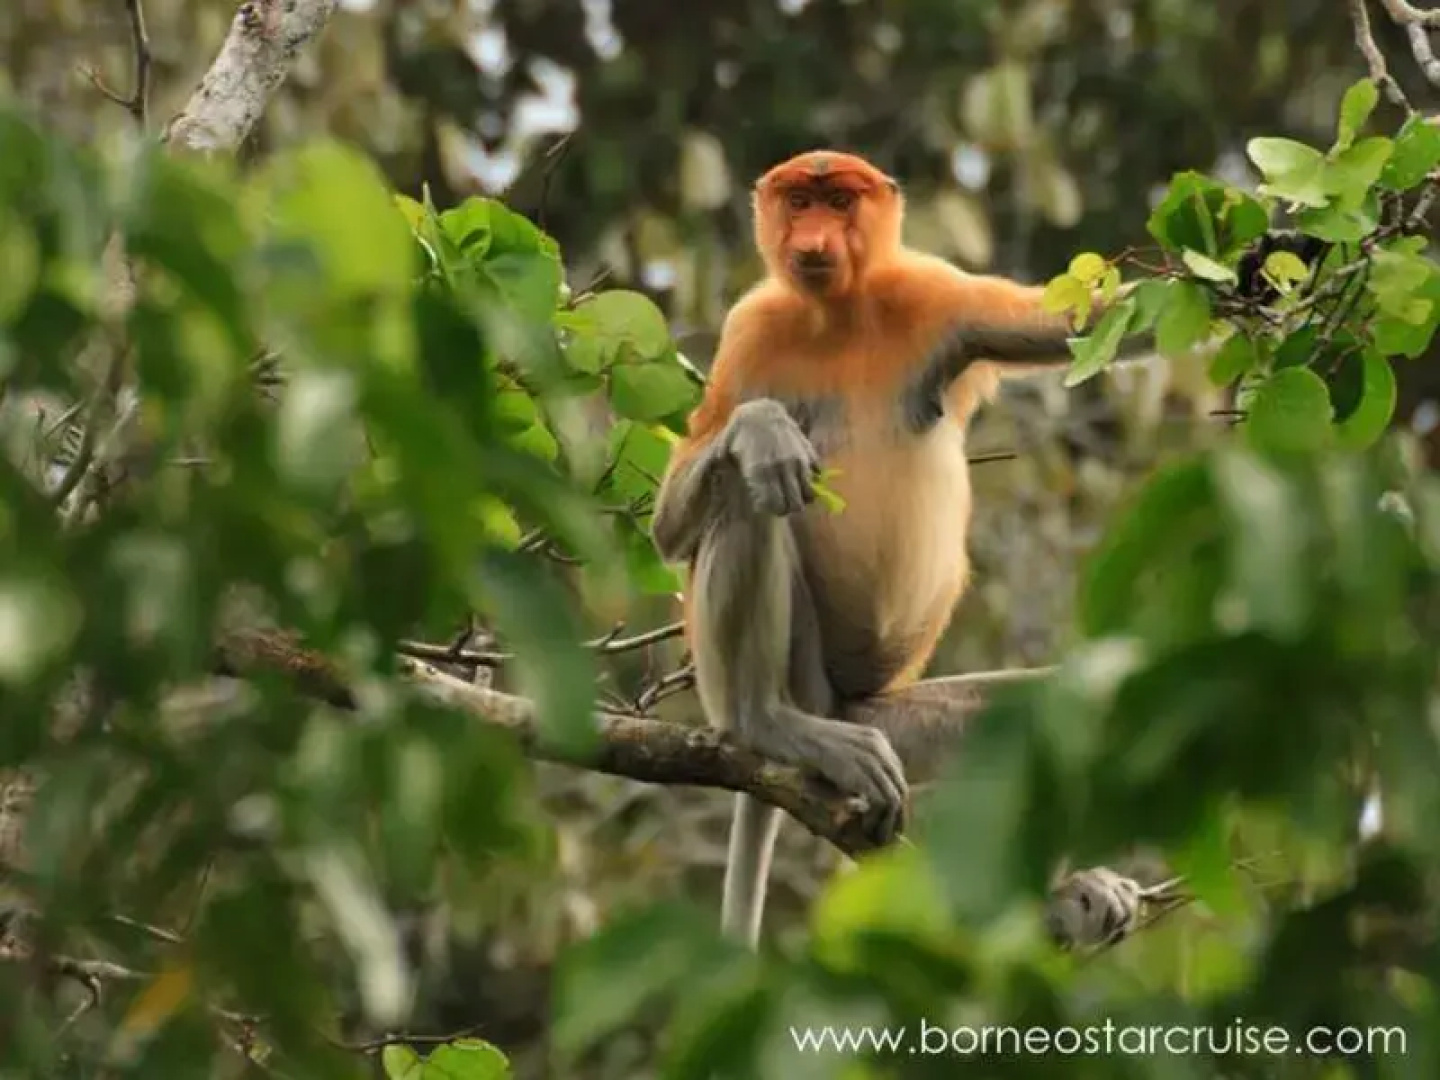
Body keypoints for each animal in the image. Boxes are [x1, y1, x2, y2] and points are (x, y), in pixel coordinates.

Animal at [650, 150, 1149, 947]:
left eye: (839, 201)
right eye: (799, 201)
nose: (812, 239)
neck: (840, 313)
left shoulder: (937, 297)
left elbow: (1086, 325)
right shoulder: (750, 330)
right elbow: (673, 520)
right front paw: (762, 430)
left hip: (892, 718)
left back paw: (1068, 897)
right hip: (802, 681)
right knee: (745, 494)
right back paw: (767, 723)